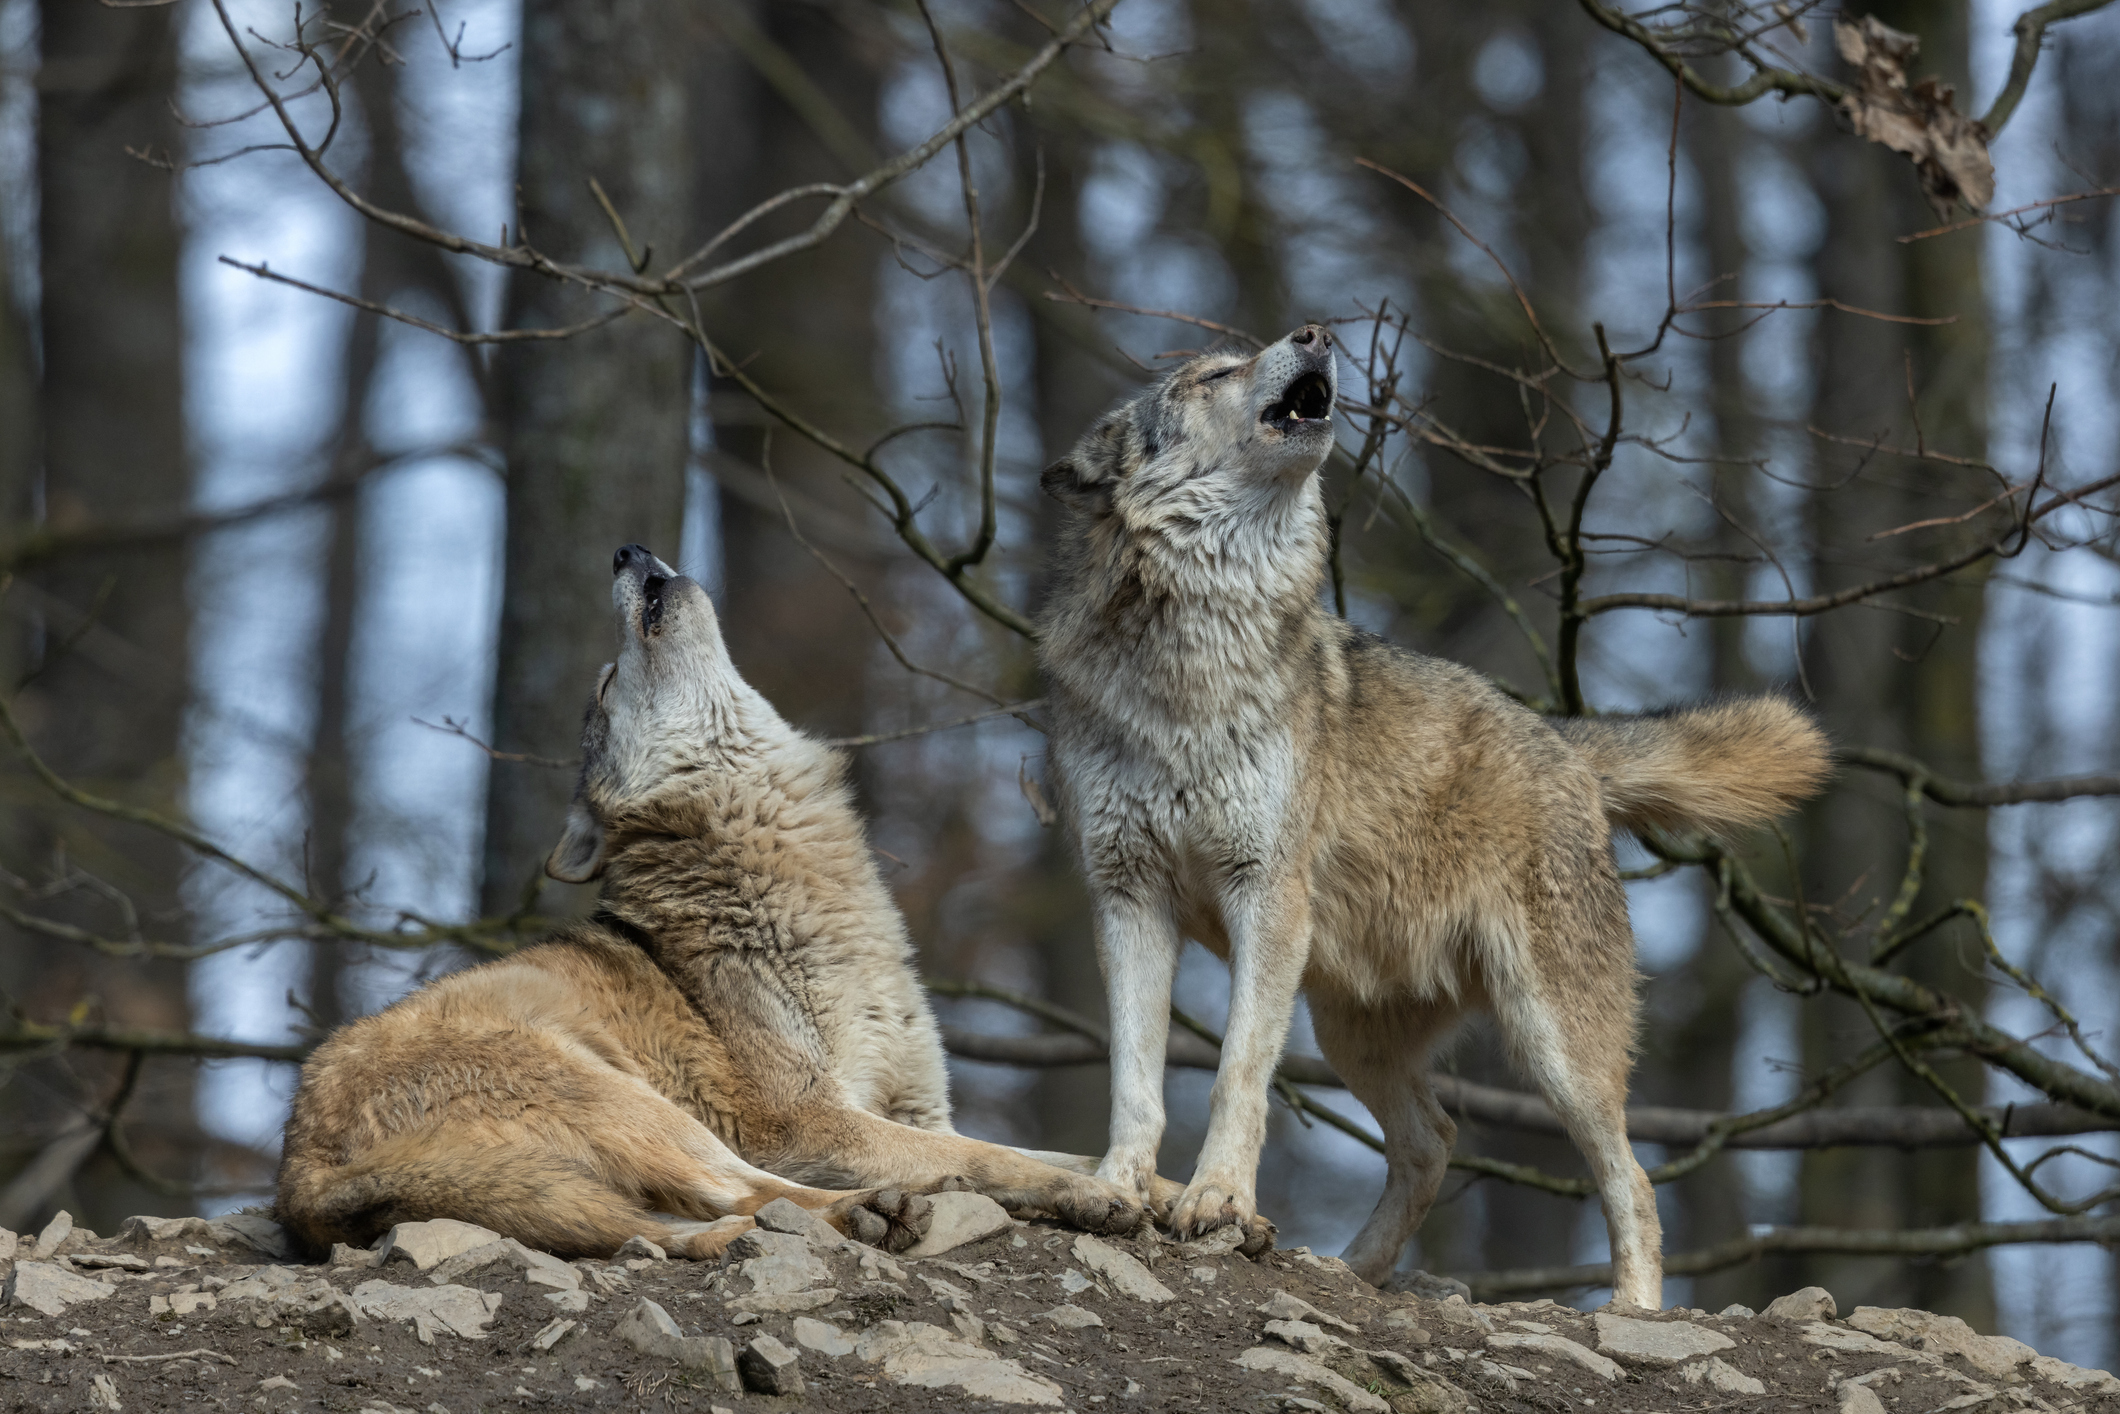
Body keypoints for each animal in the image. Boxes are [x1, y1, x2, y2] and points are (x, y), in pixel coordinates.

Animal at [277, 546, 1161, 1263]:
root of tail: (298, 1177)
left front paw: (1154, 1188)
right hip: (634, 1102)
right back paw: (875, 1211)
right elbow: (993, 1157)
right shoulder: (809, 1122)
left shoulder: (921, 1108)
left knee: (677, 1224)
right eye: (607, 682)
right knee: (756, 1194)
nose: (625, 549)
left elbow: (1043, 1151)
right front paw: (1091, 1194)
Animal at [1034, 326, 1831, 1314]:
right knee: (1435, 1141)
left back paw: (1634, 1313)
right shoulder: (1127, 897)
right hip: (1351, 1032)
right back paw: (1351, 1271)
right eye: (1214, 373)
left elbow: (1237, 1076)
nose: (1315, 332)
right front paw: (1115, 1187)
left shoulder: (1266, 895)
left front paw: (1216, 1201)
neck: (1192, 656)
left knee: (1633, 1180)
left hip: (1553, 1043)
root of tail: (1566, 741)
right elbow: (1135, 1080)